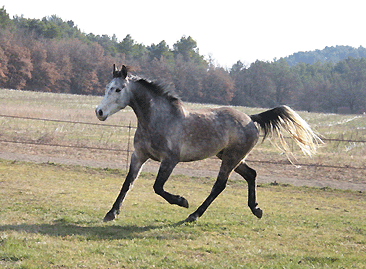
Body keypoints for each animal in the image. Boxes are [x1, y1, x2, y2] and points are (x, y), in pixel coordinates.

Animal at [95, 63, 320, 221]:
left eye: (118, 89)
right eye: (107, 87)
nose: (99, 112)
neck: (159, 119)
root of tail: (250, 118)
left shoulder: (170, 160)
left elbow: (158, 187)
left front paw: (182, 201)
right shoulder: (139, 156)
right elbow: (128, 183)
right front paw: (111, 213)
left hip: (231, 159)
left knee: (219, 185)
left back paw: (193, 214)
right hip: (231, 157)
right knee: (251, 175)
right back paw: (256, 209)